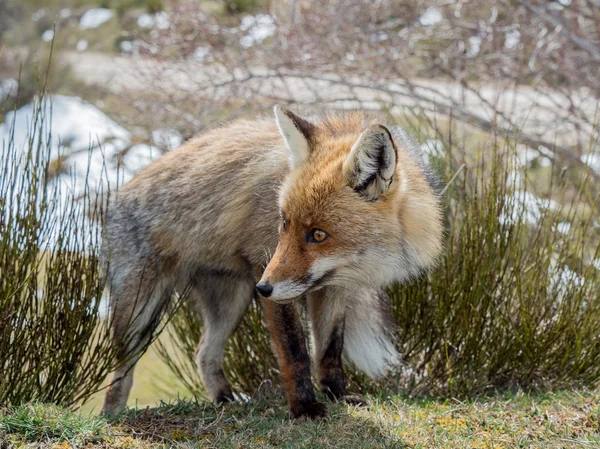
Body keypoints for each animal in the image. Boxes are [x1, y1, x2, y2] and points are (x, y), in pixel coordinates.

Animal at [101, 106, 442, 420]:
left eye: (318, 234)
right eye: (284, 223)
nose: (263, 288)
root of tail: (117, 195)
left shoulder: (331, 288)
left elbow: (330, 350)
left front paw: (337, 396)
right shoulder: (267, 266)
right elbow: (295, 353)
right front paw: (304, 408)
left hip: (231, 302)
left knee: (204, 353)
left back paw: (225, 402)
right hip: (140, 313)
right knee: (120, 371)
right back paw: (111, 414)